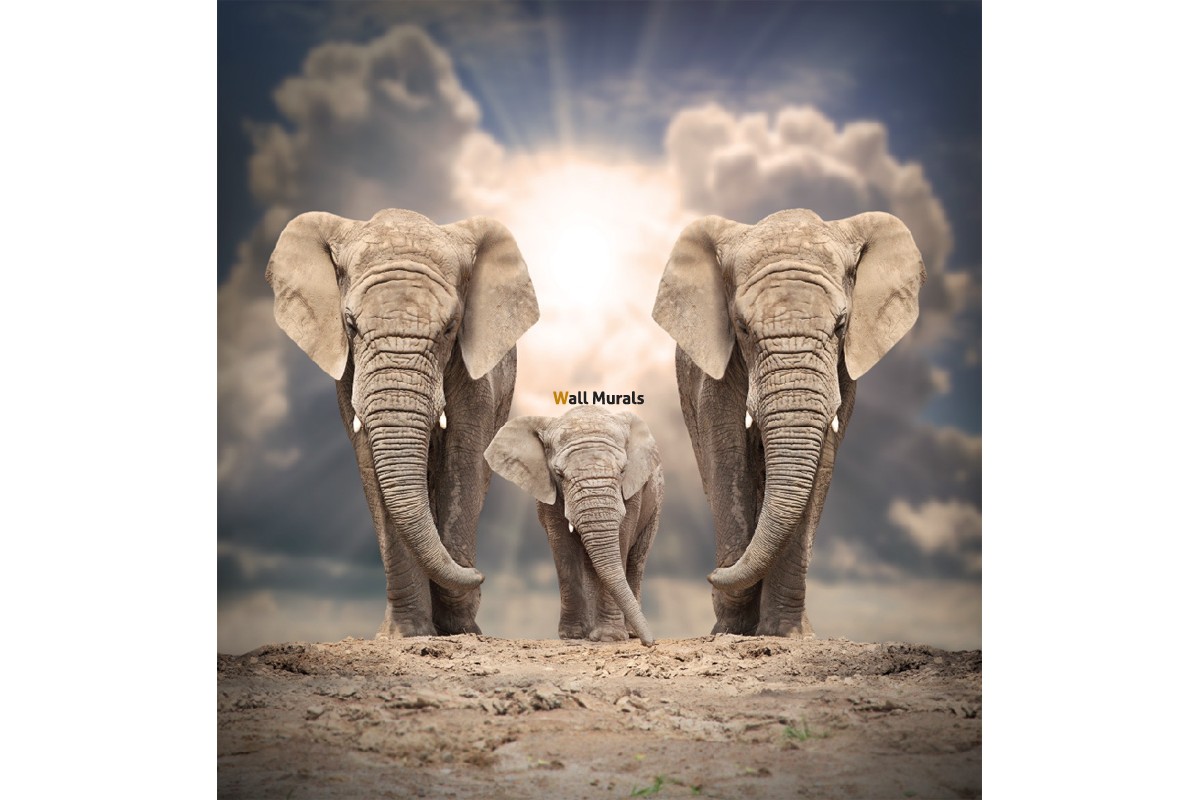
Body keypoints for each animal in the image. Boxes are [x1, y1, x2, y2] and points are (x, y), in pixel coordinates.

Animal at [266, 208, 539, 638]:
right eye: (350, 325)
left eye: (450, 328)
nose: (481, 574)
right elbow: (371, 465)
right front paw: (406, 634)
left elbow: (463, 461)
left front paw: (460, 629)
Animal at [484, 407, 662, 646]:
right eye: (559, 474)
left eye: (623, 470)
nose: (650, 642)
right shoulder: (548, 490)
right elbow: (563, 547)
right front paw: (573, 635)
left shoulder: (633, 491)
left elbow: (622, 539)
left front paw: (609, 637)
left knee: (636, 559)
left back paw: (628, 632)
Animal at [651, 208, 924, 638]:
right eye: (742, 327)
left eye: (841, 325)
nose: (710, 574)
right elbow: (726, 456)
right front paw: (731, 629)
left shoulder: (843, 375)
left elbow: (821, 464)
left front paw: (786, 634)